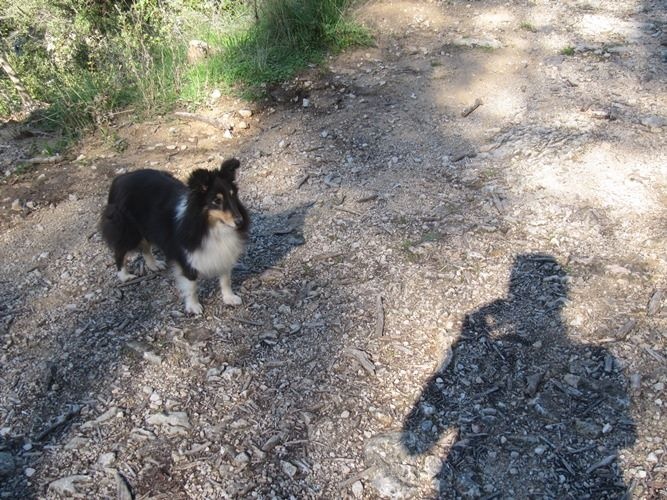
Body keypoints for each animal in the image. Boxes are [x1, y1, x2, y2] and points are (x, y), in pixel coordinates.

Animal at [98, 158, 247, 314]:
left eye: (233, 195)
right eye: (217, 201)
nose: (240, 222)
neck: (210, 226)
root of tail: (120, 178)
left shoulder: (224, 252)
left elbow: (225, 279)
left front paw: (230, 298)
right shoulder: (185, 256)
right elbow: (191, 285)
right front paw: (194, 307)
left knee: (145, 248)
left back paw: (154, 265)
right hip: (128, 230)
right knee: (120, 251)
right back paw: (124, 276)